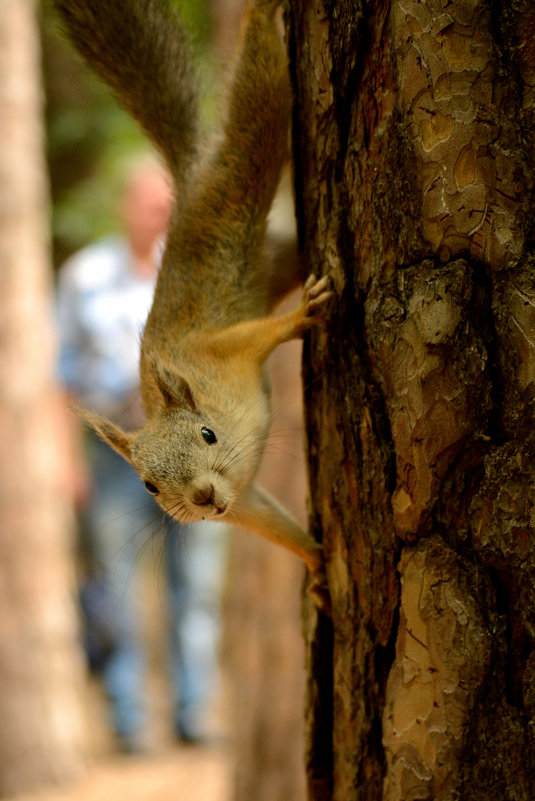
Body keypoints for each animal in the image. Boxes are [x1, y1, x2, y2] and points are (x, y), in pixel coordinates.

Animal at [54, 0, 330, 596]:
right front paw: (318, 563)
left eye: (207, 434)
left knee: (259, 104)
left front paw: (301, 315)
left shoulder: (217, 354)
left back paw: (260, 14)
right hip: (277, 258)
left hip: (238, 181)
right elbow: (275, 524)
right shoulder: (244, 502)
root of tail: (187, 192)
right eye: (149, 487)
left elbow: (255, 336)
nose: (202, 498)